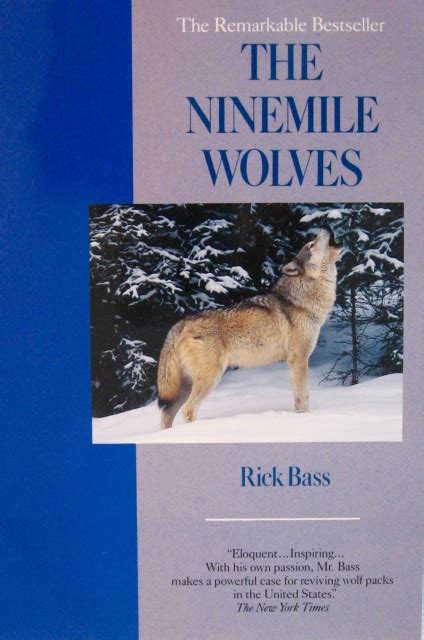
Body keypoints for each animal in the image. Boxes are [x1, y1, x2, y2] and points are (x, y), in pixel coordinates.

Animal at [157, 228, 340, 429]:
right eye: (311, 244)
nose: (324, 229)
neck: (301, 299)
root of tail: (181, 323)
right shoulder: (298, 359)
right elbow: (303, 398)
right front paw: (305, 419)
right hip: (209, 379)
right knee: (188, 411)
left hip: (185, 386)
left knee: (166, 413)